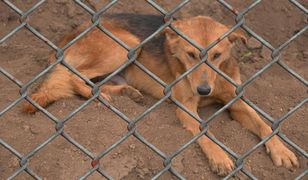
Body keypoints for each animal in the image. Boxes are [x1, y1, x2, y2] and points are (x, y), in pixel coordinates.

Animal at [23, 14, 298, 176]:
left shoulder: (235, 101)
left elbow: (264, 125)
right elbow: (205, 133)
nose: (203, 90)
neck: (214, 79)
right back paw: (102, 97)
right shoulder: (186, 107)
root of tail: (68, 36)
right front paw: (219, 157)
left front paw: (282, 151)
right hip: (127, 46)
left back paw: (126, 92)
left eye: (217, 55)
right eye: (190, 54)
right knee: (73, 76)